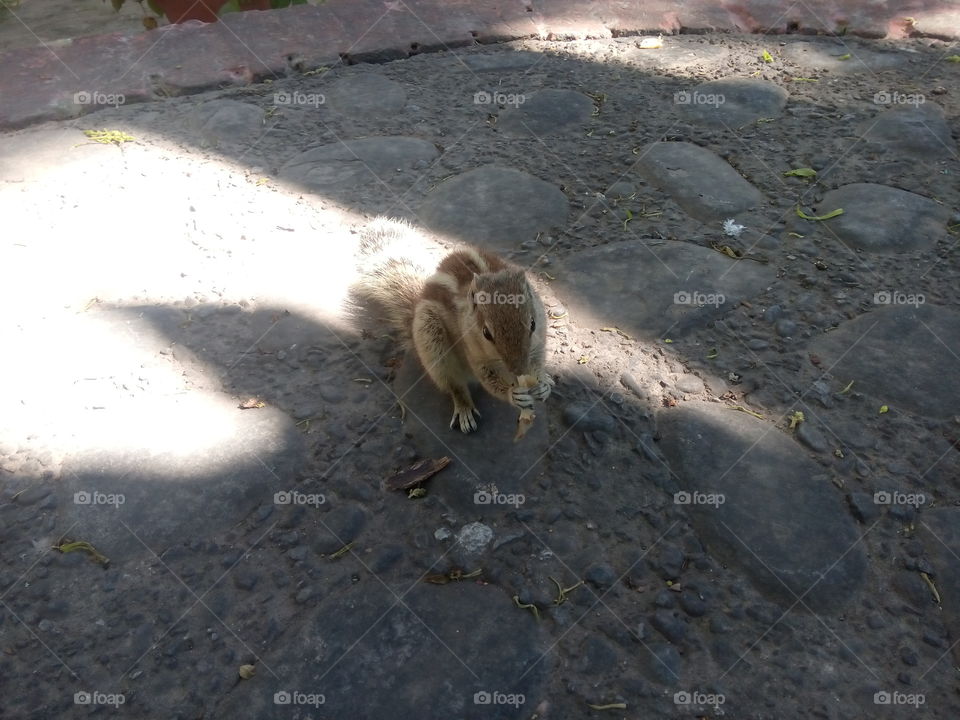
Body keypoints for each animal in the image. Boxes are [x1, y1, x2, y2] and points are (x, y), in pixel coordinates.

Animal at [351, 217, 553, 433]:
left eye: (533, 324)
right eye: (486, 333)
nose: (519, 370)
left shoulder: (539, 343)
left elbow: (538, 361)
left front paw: (542, 384)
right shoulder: (475, 355)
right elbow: (488, 381)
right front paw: (513, 395)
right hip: (431, 340)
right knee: (453, 384)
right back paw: (464, 409)